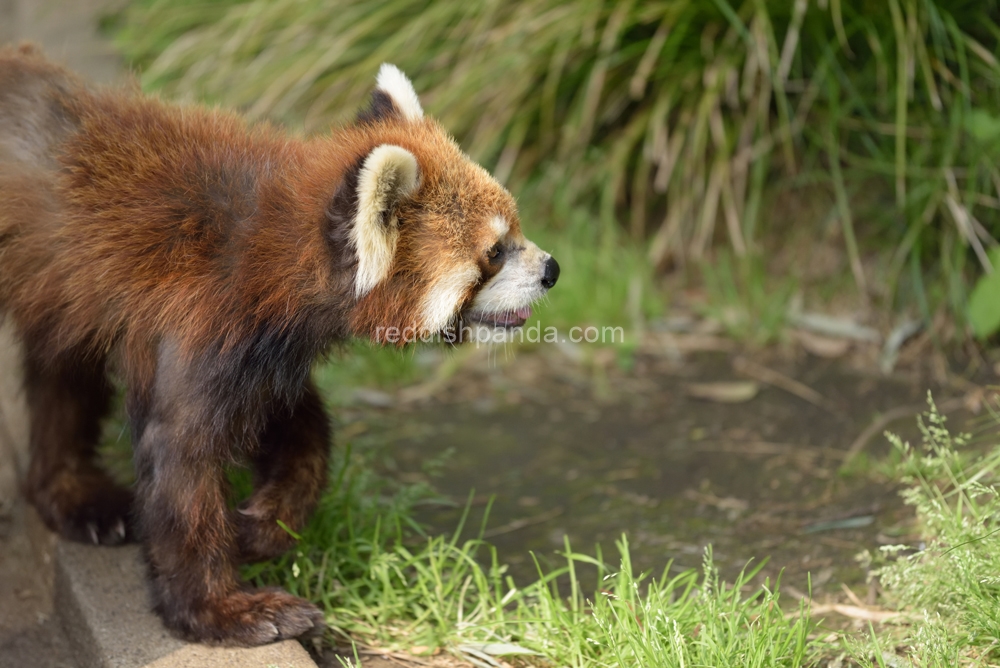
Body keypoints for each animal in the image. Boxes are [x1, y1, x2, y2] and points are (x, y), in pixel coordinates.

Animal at [0, 43, 556, 648]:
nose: (552, 270)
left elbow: (302, 431)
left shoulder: (266, 357)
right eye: (495, 253)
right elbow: (180, 466)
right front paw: (220, 610)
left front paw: (265, 525)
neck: (274, 256)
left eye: (516, 230)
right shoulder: (204, 328)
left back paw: (72, 494)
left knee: (60, 373)